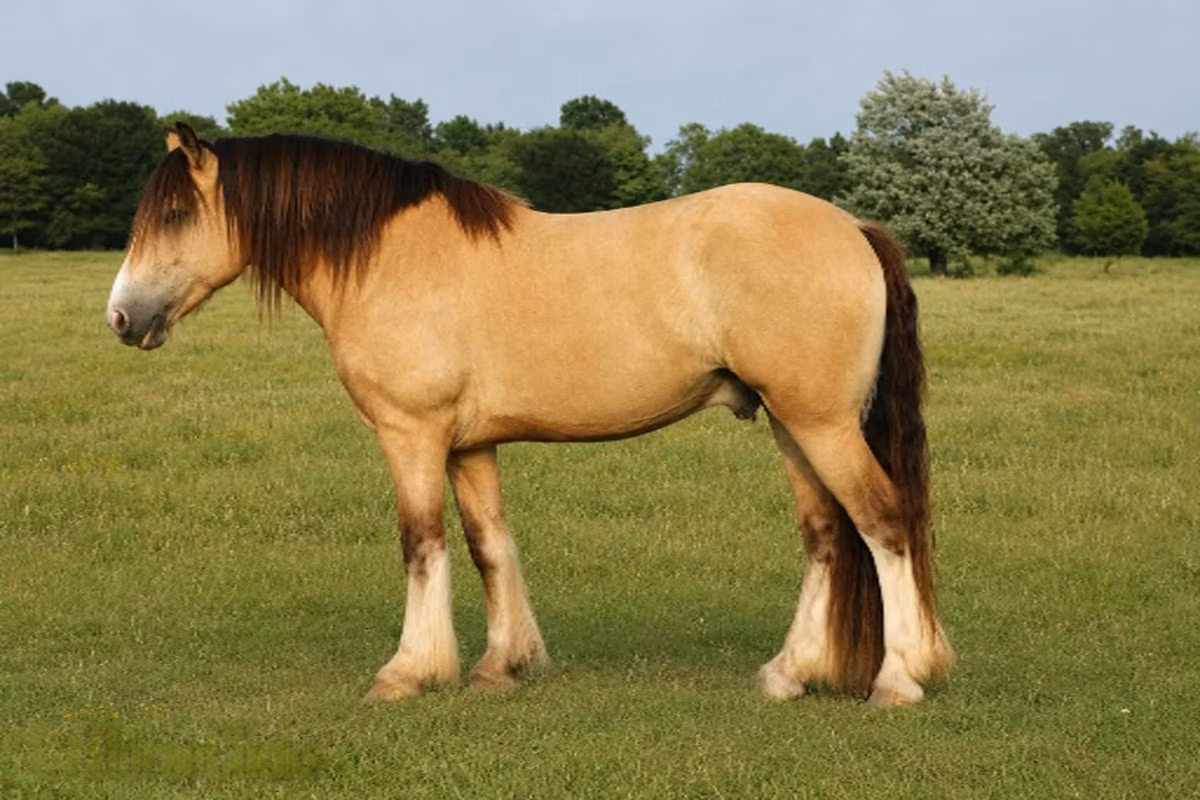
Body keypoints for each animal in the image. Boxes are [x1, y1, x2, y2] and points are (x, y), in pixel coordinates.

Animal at [107, 122, 952, 706]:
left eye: (175, 213)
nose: (121, 318)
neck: (387, 256)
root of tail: (854, 229)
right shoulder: (468, 446)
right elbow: (490, 545)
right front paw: (501, 665)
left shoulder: (413, 435)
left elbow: (422, 544)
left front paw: (409, 672)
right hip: (793, 425)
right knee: (827, 537)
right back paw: (788, 673)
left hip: (821, 425)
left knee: (883, 523)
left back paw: (899, 679)